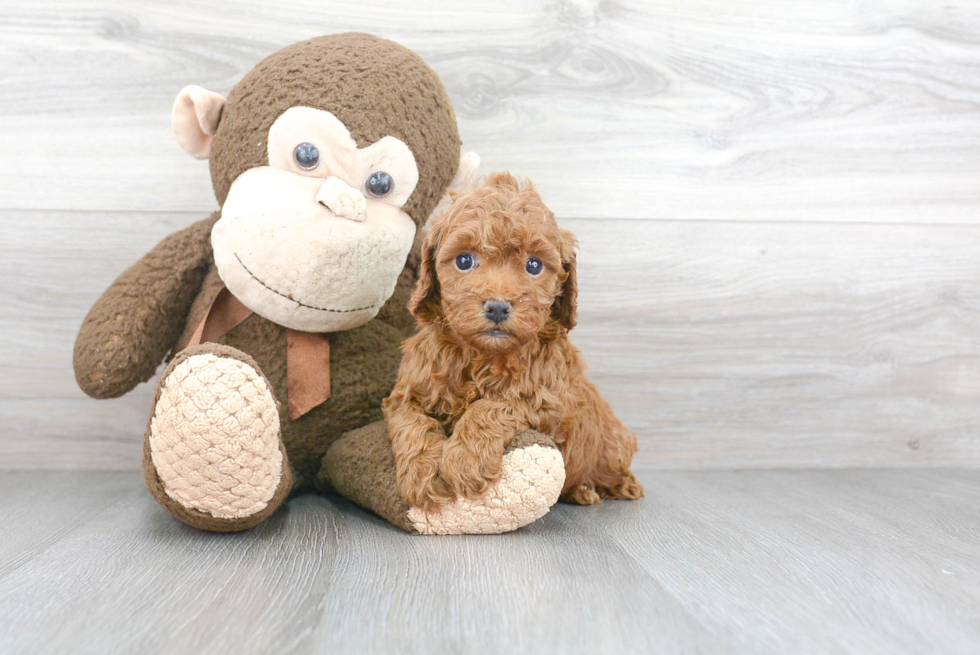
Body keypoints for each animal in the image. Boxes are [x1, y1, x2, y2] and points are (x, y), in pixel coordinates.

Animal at [382, 172, 644, 516]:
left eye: (533, 266)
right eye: (464, 260)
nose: (497, 307)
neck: (482, 355)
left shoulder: (552, 402)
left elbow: (492, 405)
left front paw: (465, 460)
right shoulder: (407, 394)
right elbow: (412, 425)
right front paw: (422, 476)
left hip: (613, 445)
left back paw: (611, 487)